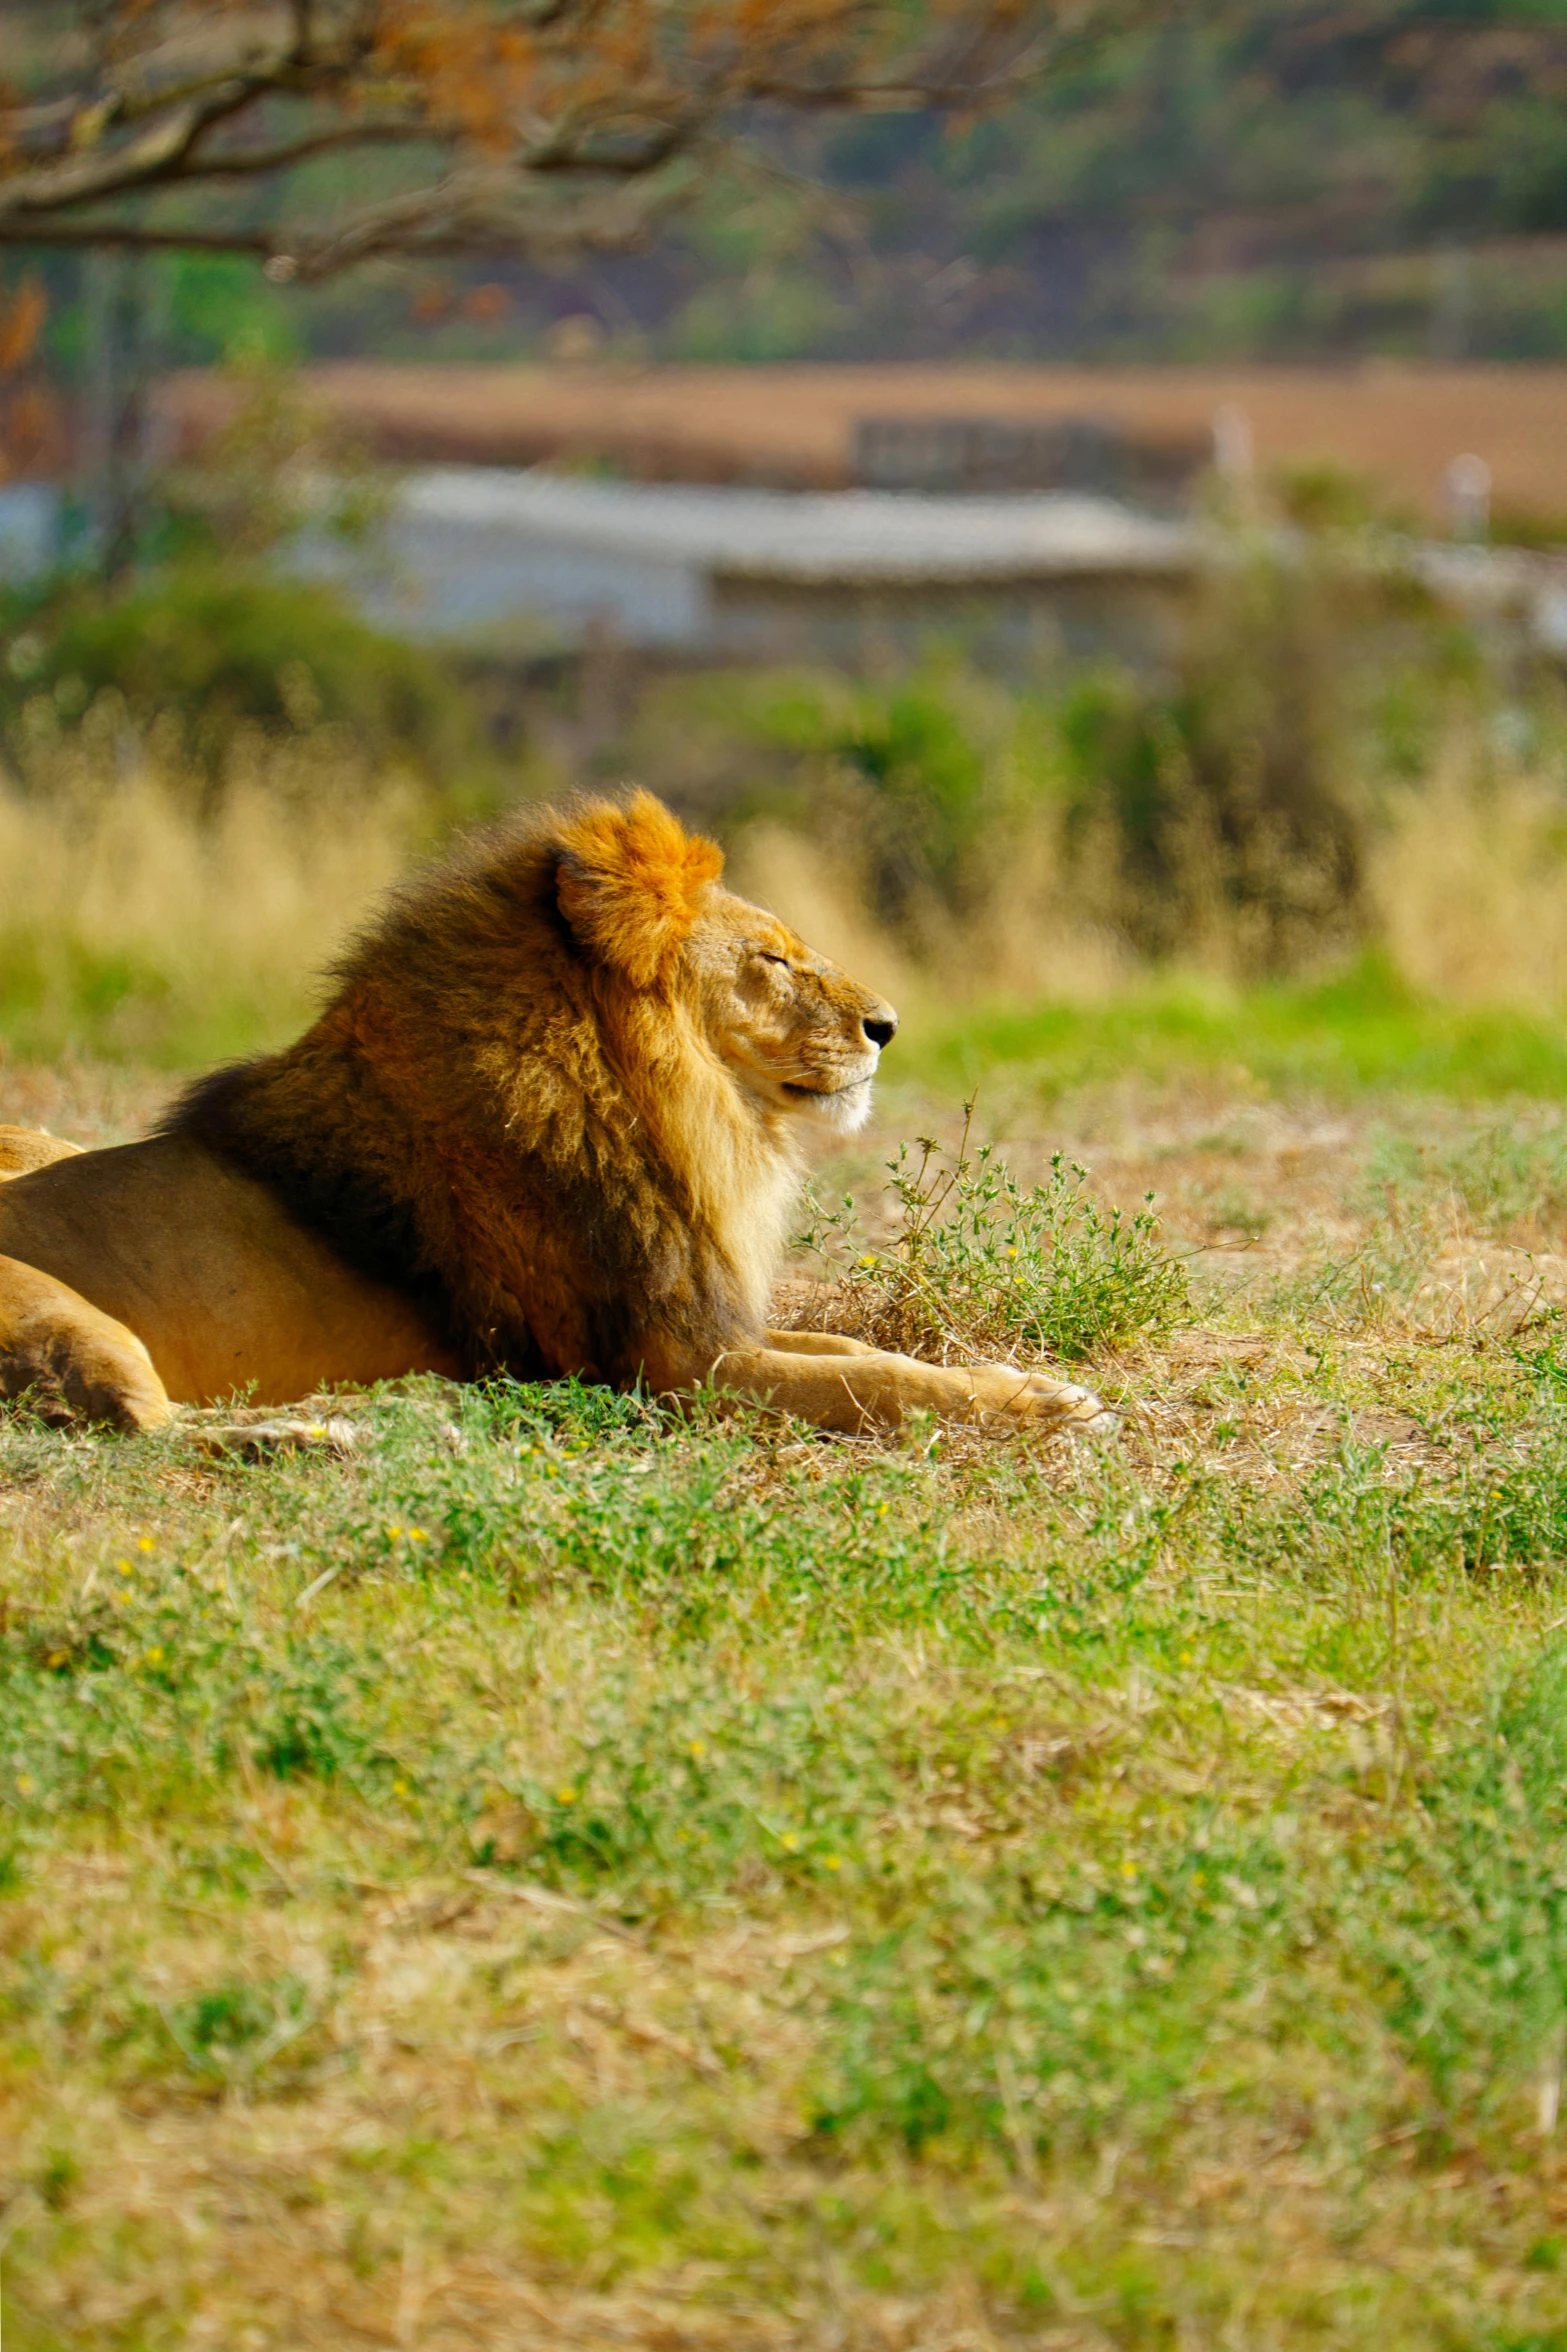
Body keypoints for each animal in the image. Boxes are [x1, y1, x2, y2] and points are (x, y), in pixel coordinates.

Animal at [0, 799, 1110, 1439]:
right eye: (771, 958)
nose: (887, 1024)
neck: (679, 1115)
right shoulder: (665, 1369)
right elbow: (876, 1386)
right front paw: (1033, 1405)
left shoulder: (701, 1316)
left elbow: (862, 1352)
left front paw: (1030, 1382)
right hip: (67, 1318)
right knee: (143, 1430)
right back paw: (334, 1427)